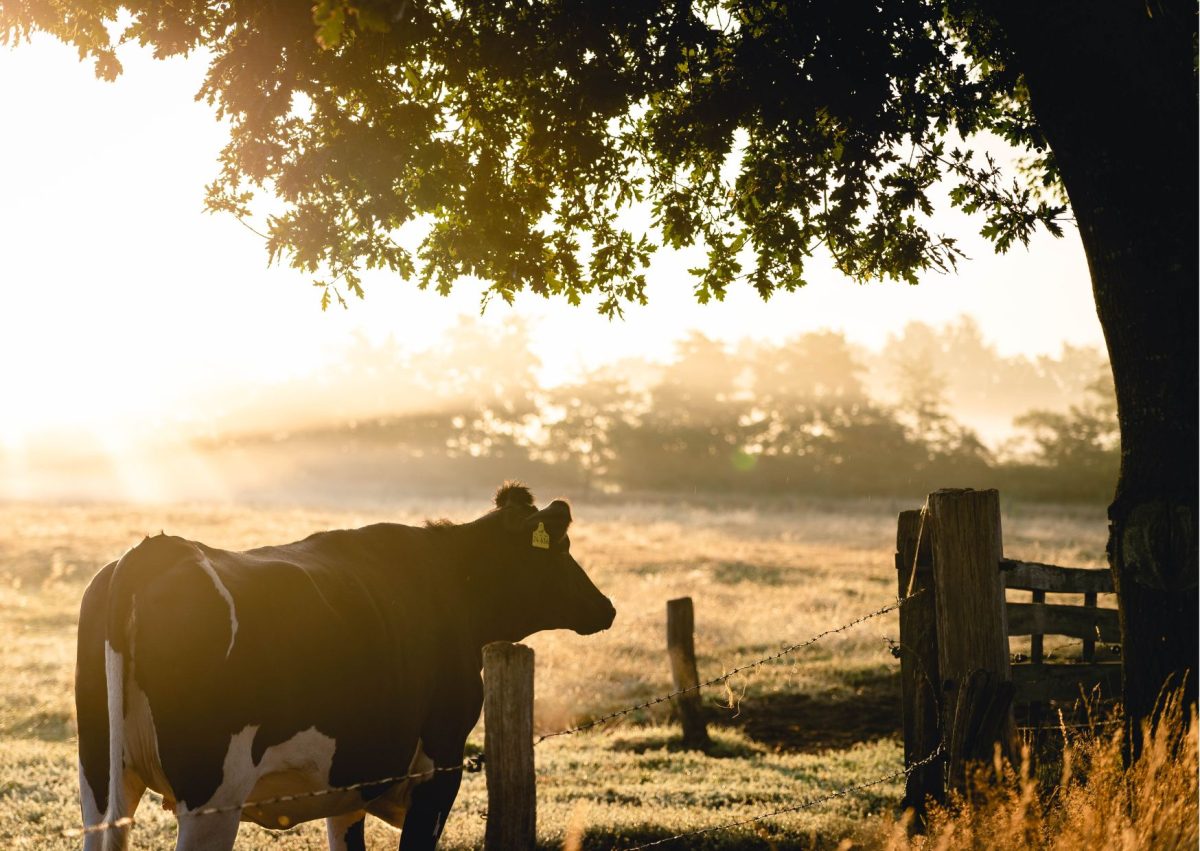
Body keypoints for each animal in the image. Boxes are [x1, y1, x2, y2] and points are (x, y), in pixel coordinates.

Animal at [78, 484, 614, 849]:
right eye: (562, 548)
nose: (606, 607)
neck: (451, 584)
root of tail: (156, 550)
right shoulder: (439, 767)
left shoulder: (350, 780)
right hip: (211, 797)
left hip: (101, 781)